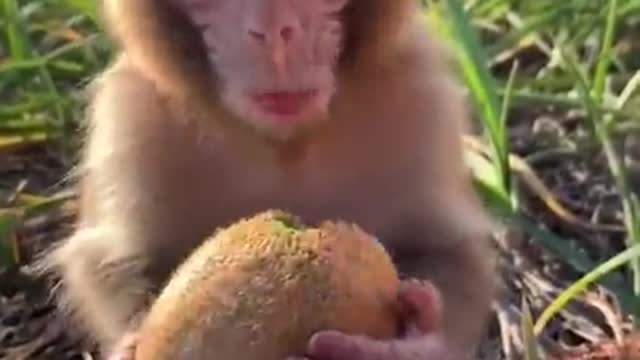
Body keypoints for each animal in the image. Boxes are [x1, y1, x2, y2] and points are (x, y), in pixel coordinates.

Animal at [37, 0, 498, 358]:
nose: (276, 34)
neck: (286, 142)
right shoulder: (130, 114)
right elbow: (107, 261)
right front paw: (130, 343)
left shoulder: (421, 90)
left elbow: (449, 249)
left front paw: (408, 345)